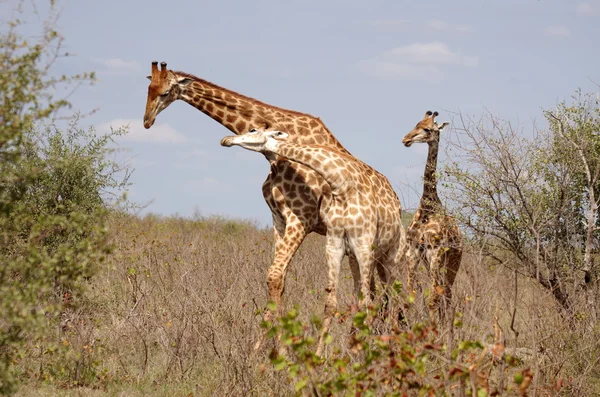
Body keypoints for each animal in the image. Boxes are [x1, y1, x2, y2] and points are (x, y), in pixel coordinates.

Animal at [142, 60, 386, 316]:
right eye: (148, 89)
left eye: (165, 92)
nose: (147, 121)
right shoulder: (278, 218)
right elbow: (277, 280)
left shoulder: (302, 218)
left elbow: (275, 276)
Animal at [220, 127, 408, 356]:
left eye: (253, 130)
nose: (226, 139)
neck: (342, 186)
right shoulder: (335, 244)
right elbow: (331, 303)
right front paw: (320, 356)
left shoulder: (363, 244)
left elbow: (368, 304)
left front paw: (364, 354)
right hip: (361, 258)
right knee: (370, 296)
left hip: (391, 258)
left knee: (392, 299)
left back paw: (390, 346)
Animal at [404, 110, 464, 320]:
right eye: (416, 124)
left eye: (428, 129)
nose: (406, 139)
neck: (427, 210)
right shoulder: (413, 252)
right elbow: (410, 297)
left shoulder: (435, 253)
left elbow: (432, 300)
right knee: (444, 296)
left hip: (452, 263)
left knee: (447, 296)